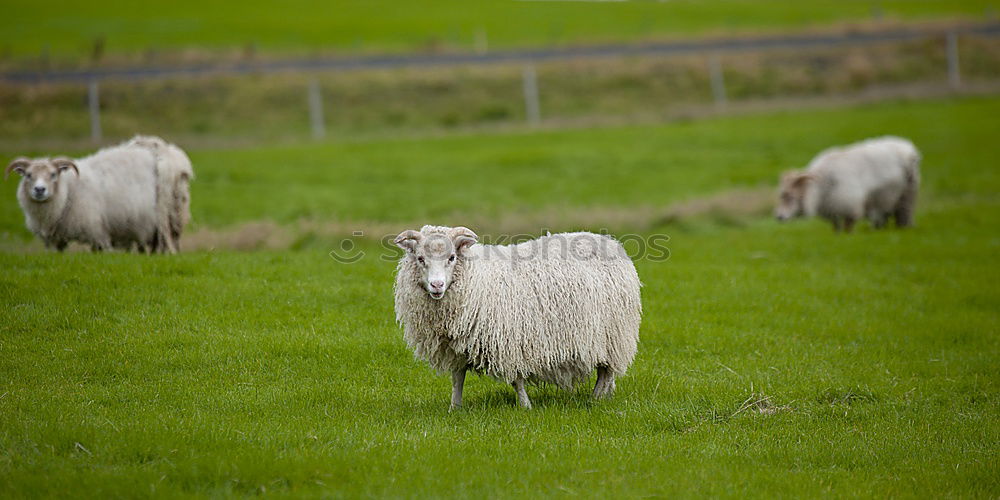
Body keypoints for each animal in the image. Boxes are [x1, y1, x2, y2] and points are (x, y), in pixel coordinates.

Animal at [4, 135, 194, 252]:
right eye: (28, 175)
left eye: (53, 174)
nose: (39, 190)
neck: (69, 190)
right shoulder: (58, 241)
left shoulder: (97, 231)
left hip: (169, 215)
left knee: (168, 242)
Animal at [392, 225, 640, 408]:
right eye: (420, 258)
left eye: (452, 257)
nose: (437, 285)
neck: (475, 278)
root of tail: (609, 241)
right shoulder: (456, 347)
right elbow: (457, 379)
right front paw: (455, 408)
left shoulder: (509, 342)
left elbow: (516, 380)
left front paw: (525, 406)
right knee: (607, 373)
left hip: (614, 335)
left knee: (606, 372)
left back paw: (595, 399)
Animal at [772, 135, 920, 232]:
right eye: (781, 195)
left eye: (790, 196)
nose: (779, 217)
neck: (822, 185)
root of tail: (907, 148)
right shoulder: (833, 209)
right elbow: (836, 229)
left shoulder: (849, 206)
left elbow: (848, 228)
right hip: (884, 199)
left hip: (907, 196)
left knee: (904, 216)